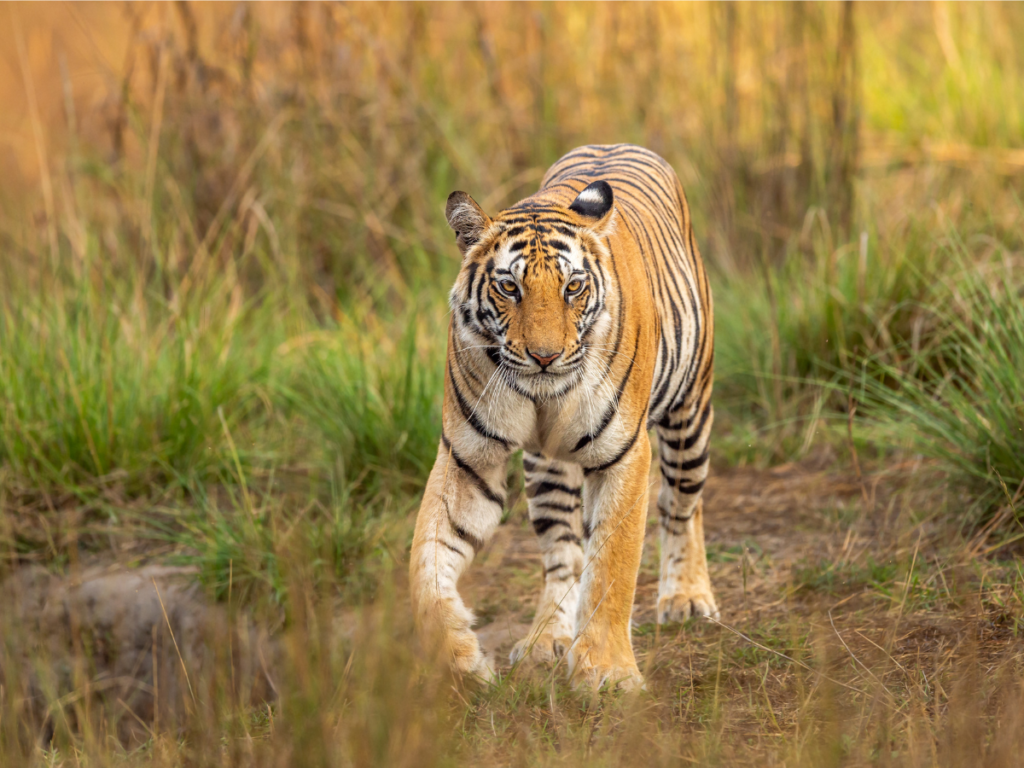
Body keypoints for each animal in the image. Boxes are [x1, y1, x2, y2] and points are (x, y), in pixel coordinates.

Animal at [403, 144, 716, 692]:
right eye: (509, 287)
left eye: (573, 287)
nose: (545, 356)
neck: (543, 396)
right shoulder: (468, 459)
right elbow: (426, 562)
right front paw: (462, 660)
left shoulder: (625, 453)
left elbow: (613, 564)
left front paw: (608, 673)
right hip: (547, 465)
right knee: (564, 554)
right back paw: (545, 639)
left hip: (689, 417)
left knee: (681, 505)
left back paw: (686, 597)